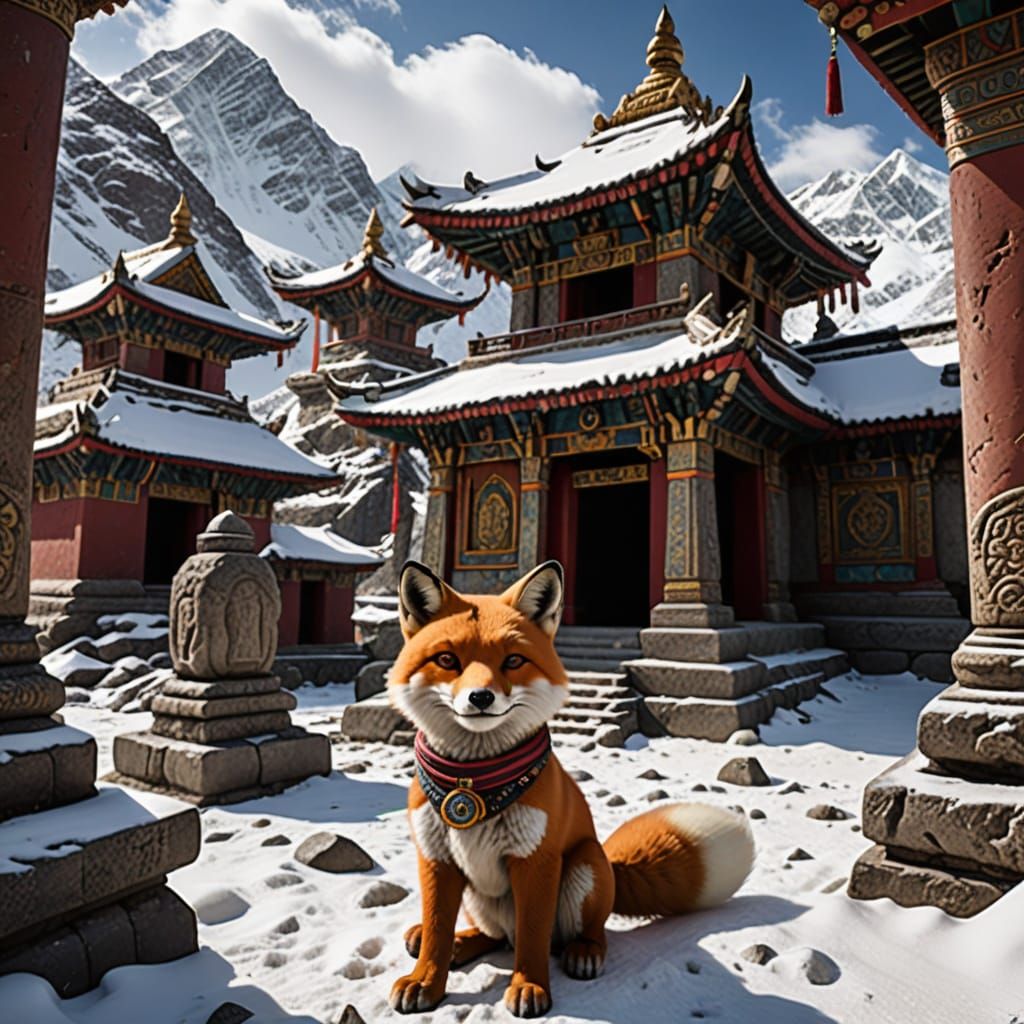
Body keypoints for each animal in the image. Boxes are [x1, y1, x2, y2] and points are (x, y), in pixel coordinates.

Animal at [387, 558, 755, 1018]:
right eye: (447, 659)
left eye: (513, 660)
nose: (481, 697)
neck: (472, 784)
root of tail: (611, 864)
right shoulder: (435, 856)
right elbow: (437, 929)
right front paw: (426, 981)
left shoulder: (535, 859)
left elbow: (533, 936)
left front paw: (529, 986)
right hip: (479, 895)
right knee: (492, 935)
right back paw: (460, 942)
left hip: (583, 865)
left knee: (581, 933)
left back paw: (584, 951)